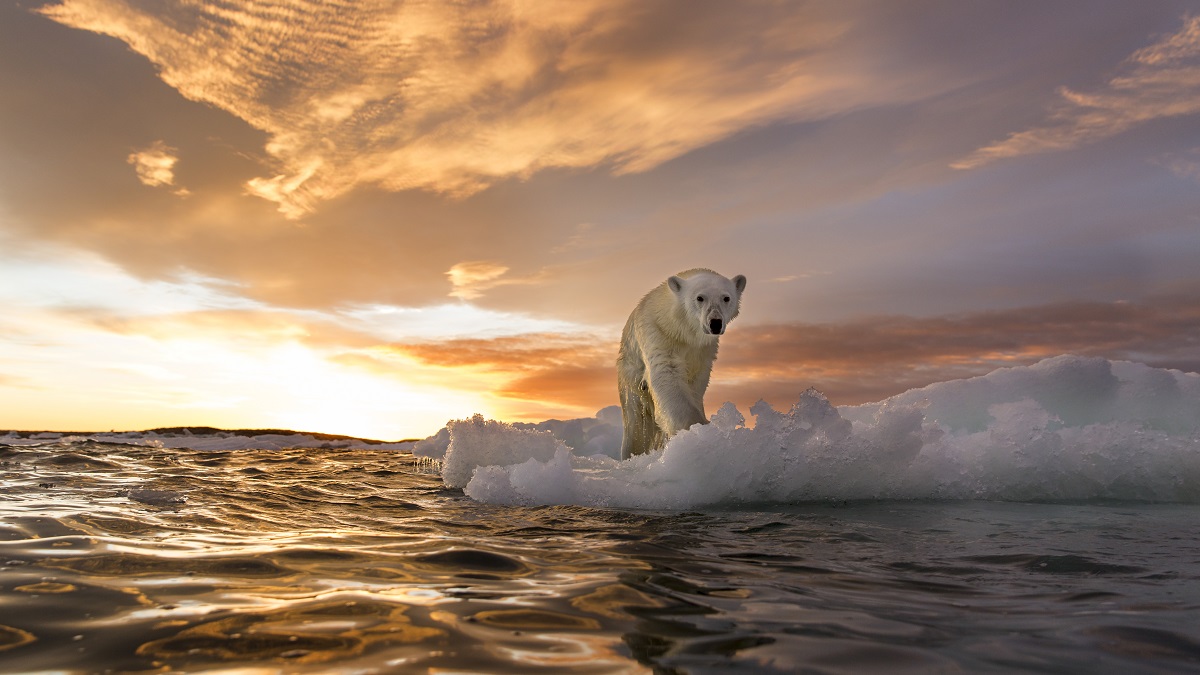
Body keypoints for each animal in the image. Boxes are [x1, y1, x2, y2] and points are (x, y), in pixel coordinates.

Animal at [614, 267, 744, 456]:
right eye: (700, 297)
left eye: (726, 298)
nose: (715, 323)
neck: (682, 330)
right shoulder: (659, 334)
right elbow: (667, 374)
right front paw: (697, 429)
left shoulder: (703, 351)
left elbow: (696, 382)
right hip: (630, 378)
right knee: (636, 424)